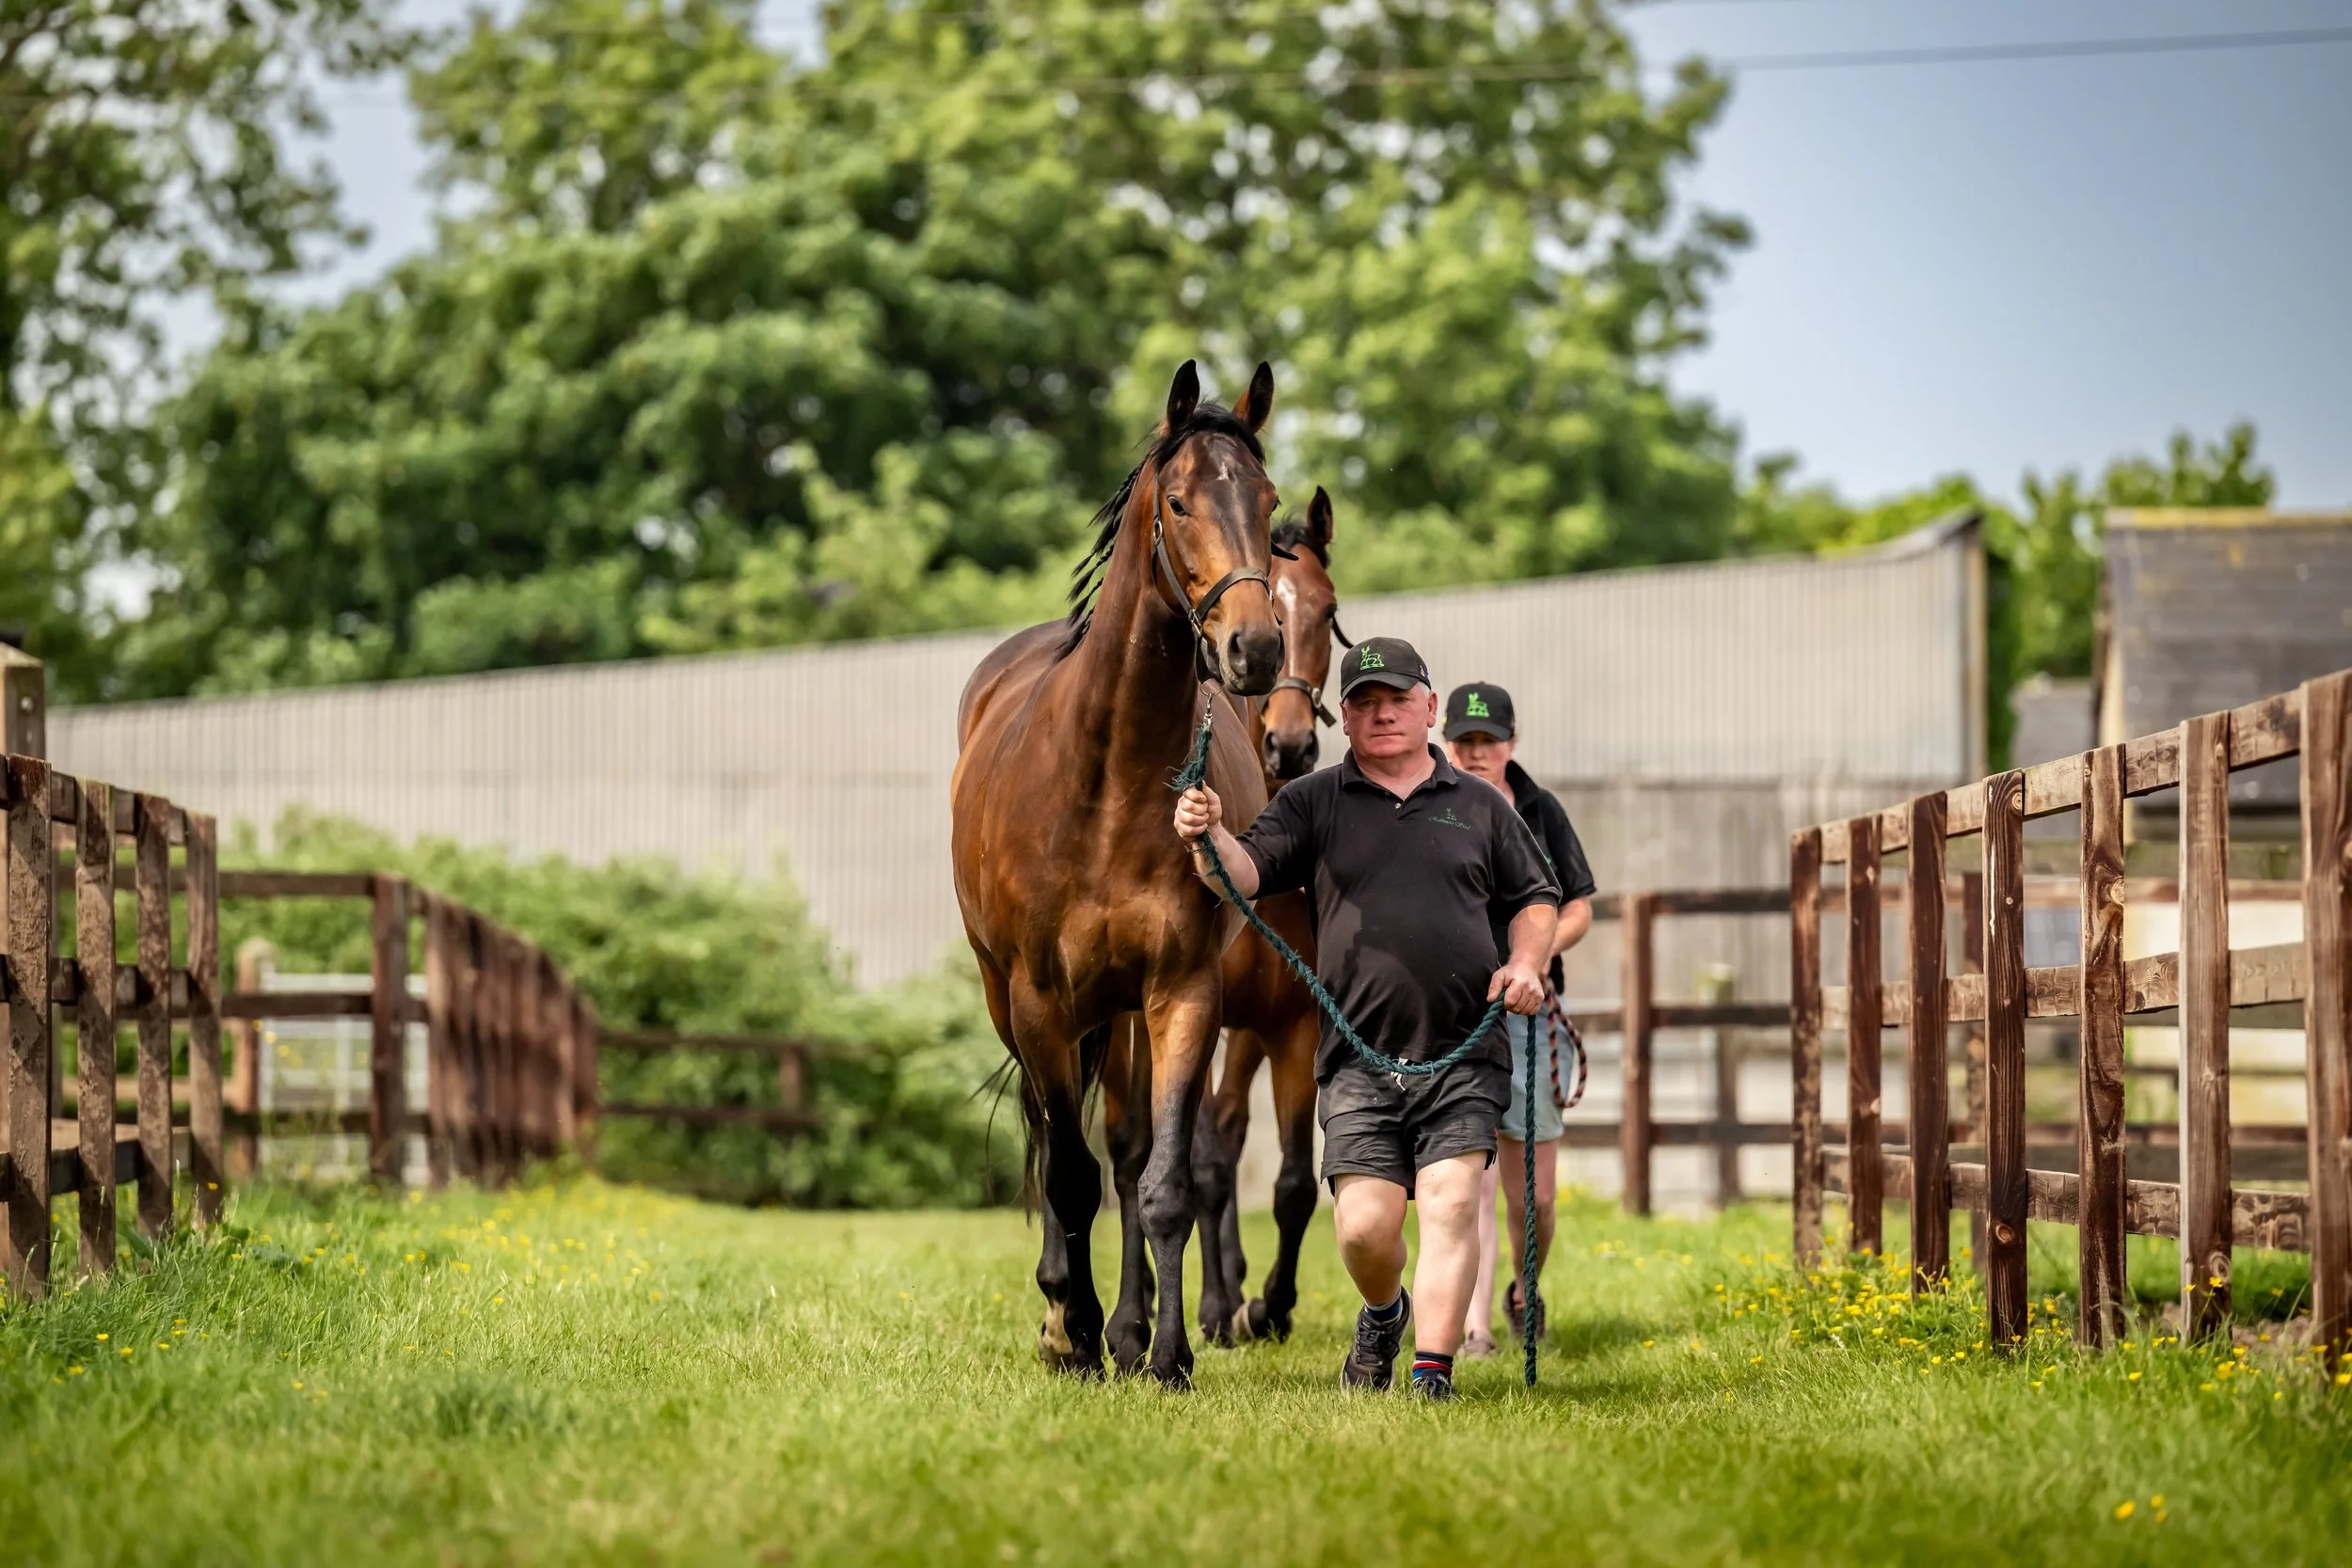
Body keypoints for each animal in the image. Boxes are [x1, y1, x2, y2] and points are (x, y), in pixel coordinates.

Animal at [952, 359, 1284, 1386]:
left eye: (1269, 502)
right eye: (1178, 502)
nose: (1255, 648)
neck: (1107, 779)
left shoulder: (1182, 991)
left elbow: (1164, 1181)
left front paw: (1167, 1353)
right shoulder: (1040, 999)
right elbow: (1070, 1174)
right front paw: (1075, 1331)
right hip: (1012, 999)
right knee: (1053, 1138)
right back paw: (1068, 1310)